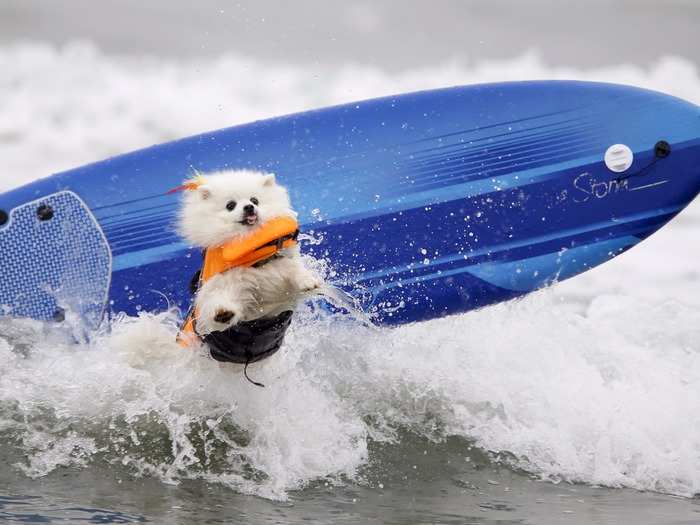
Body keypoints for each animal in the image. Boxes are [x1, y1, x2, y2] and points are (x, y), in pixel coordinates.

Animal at [180, 170, 322, 334]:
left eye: (254, 200)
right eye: (230, 205)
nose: (249, 207)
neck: (253, 255)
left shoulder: (280, 266)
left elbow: (295, 270)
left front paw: (308, 281)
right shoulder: (224, 282)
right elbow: (215, 297)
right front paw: (222, 312)